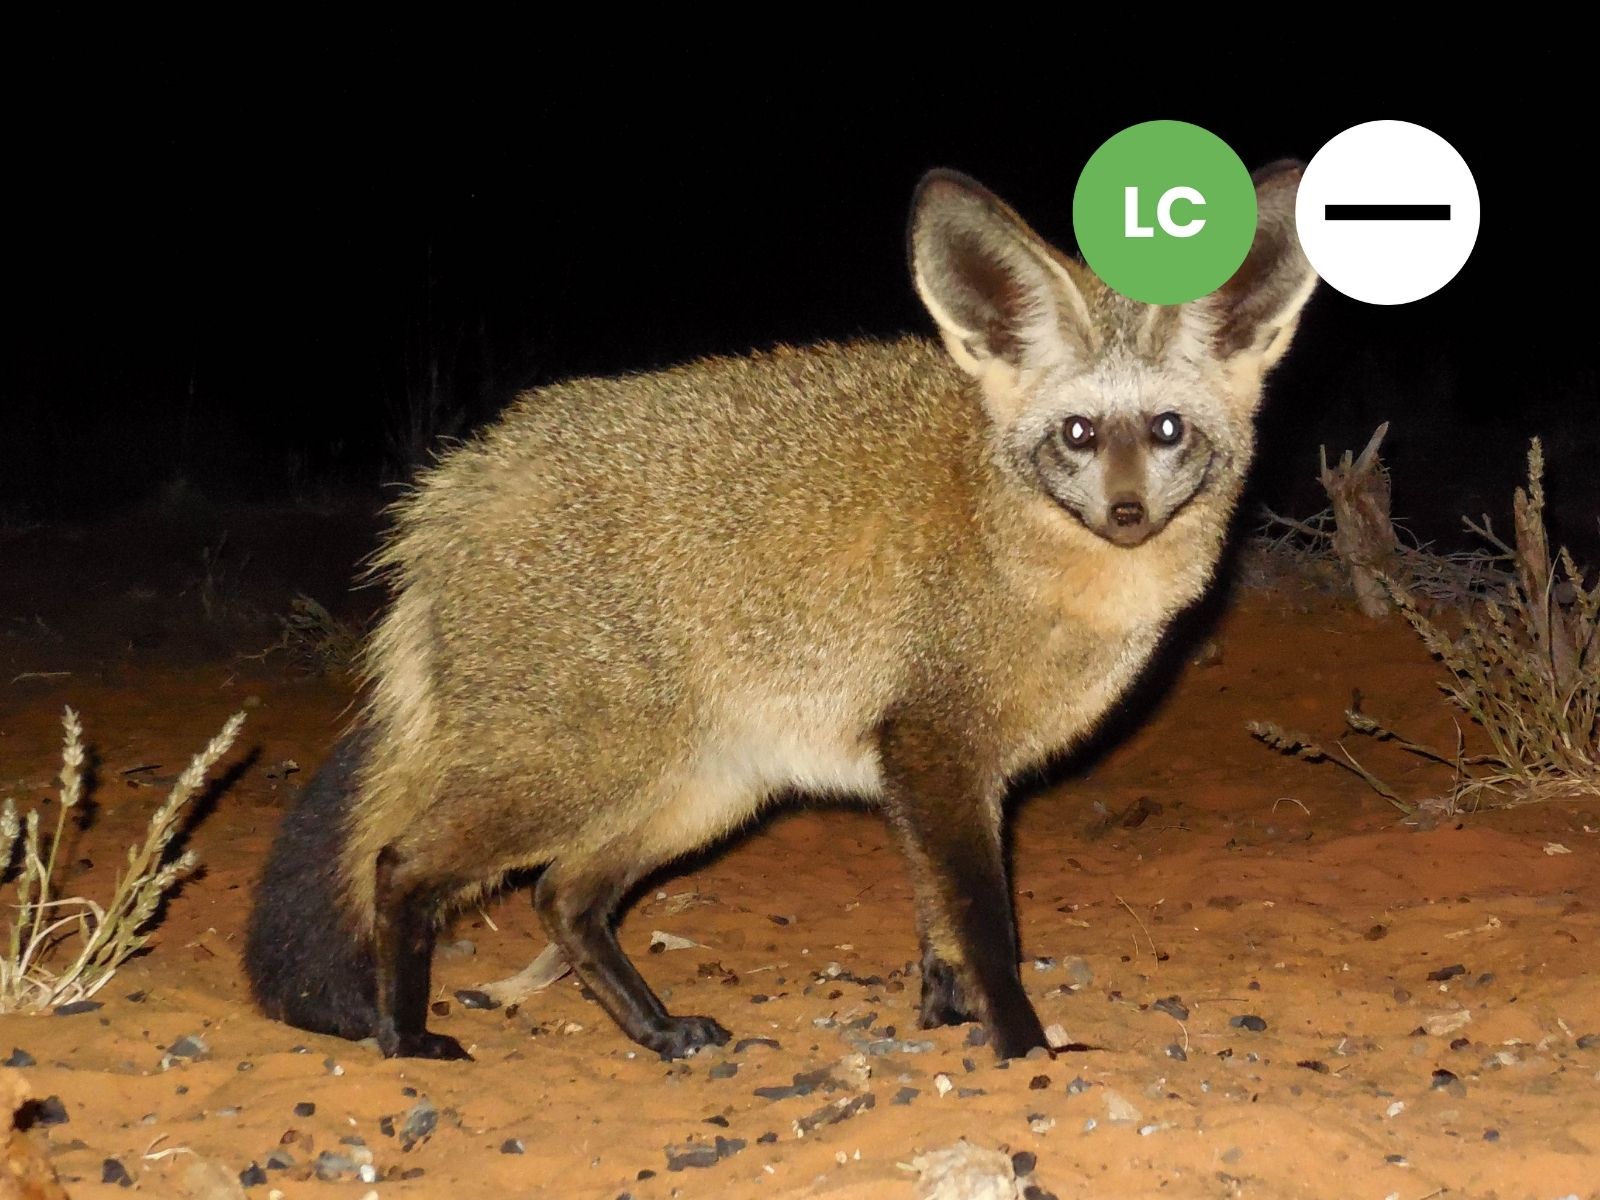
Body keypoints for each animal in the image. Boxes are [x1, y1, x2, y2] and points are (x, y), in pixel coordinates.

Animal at [245, 163, 1317, 1061]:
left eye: (1168, 430)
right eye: (1080, 434)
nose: (1127, 515)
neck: (1021, 551)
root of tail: (454, 490)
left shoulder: (947, 776)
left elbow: (939, 932)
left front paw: (945, 1021)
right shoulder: (933, 749)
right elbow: (983, 933)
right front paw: (1021, 1051)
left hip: (702, 792)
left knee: (565, 896)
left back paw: (659, 1030)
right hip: (578, 771)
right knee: (400, 865)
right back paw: (402, 1035)